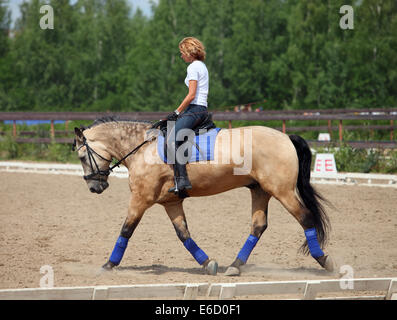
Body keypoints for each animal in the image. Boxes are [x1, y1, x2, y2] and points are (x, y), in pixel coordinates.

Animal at [72, 116, 332, 276]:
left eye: (83, 157)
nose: (95, 187)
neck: (142, 149)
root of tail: (286, 137)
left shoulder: (140, 199)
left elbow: (126, 230)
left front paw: (108, 264)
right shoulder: (171, 202)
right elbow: (183, 234)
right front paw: (208, 264)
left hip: (282, 191)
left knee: (305, 218)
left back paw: (325, 261)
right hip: (260, 191)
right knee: (258, 226)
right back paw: (235, 266)